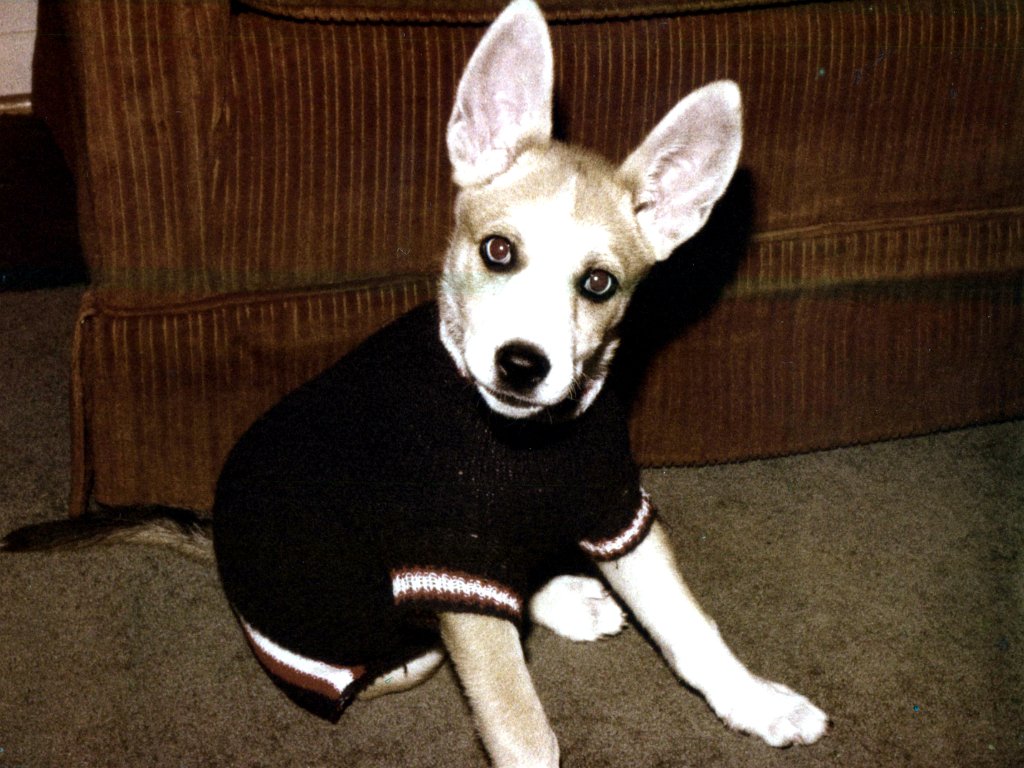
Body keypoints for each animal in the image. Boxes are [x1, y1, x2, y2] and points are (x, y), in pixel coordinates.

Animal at [3, 2, 829, 765]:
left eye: (599, 283)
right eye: (498, 251)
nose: (522, 364)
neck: (524, 444)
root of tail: (219, 550)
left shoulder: (618, 511)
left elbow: (691, 630)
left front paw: (755, 702)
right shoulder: (449, 567)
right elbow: (523, 729)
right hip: (393, 647)